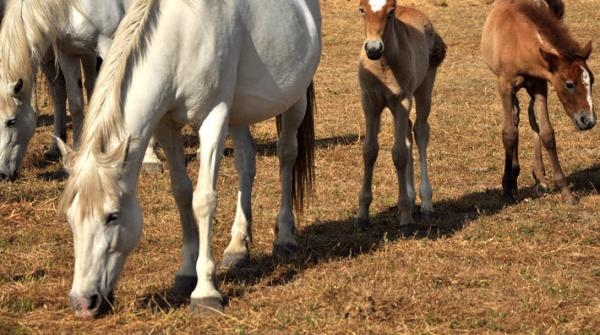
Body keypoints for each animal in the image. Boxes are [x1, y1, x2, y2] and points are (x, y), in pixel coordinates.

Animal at [58, 0, 322, 318]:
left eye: (112, 216)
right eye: (70, 218)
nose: (84, 302)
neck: (181, 35)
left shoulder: (213, 117)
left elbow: (204, 200)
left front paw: (205, 292)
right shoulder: (166, 125)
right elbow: (182, 193)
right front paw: (186, 272)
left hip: (294, 100)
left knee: (286, 156)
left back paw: (284, 238)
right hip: (239, 113)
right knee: (246, 164)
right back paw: (237, 247)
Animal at [356, 0, 446, 228]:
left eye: (391, 11)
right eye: (361, 10)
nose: (373, 49)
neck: (384, 64)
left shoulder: (402, 101)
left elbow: (398, 154)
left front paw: (405, 216)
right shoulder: (370, 102)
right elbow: (370, 151)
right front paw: (362, 214)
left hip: (424, 88)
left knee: (420, 131)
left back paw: (425, 201)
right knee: (407, 134)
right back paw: (411, 197)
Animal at [480, 0, 592, 205]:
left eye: (593, 81)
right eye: (569, 84)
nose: (588, 120)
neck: (517, 40)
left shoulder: (541, 85)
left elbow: (546, 133)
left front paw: (566, 192)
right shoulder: (505, 86)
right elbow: (509, 133)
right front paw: (507, 189)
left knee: (531, 116)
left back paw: (539, 177)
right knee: (516, 117)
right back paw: (514, 178)